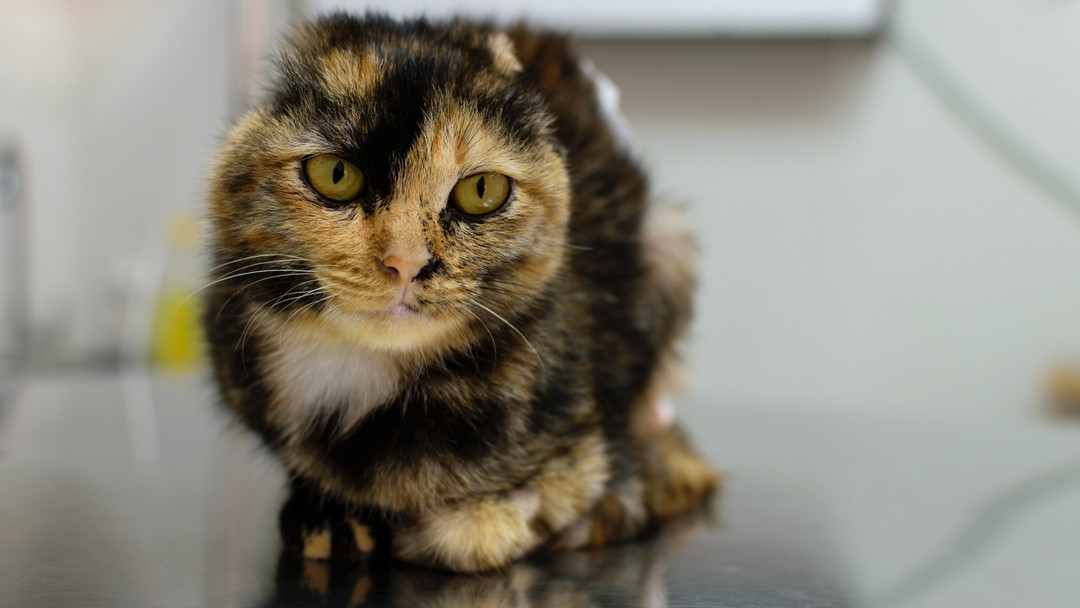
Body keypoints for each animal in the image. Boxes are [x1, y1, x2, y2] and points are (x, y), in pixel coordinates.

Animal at [206, 11, 721, 574]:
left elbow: (487, 531)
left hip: (667, 242)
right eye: (336, 174)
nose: (406, 263)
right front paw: (326, 518)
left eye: (481, 191)